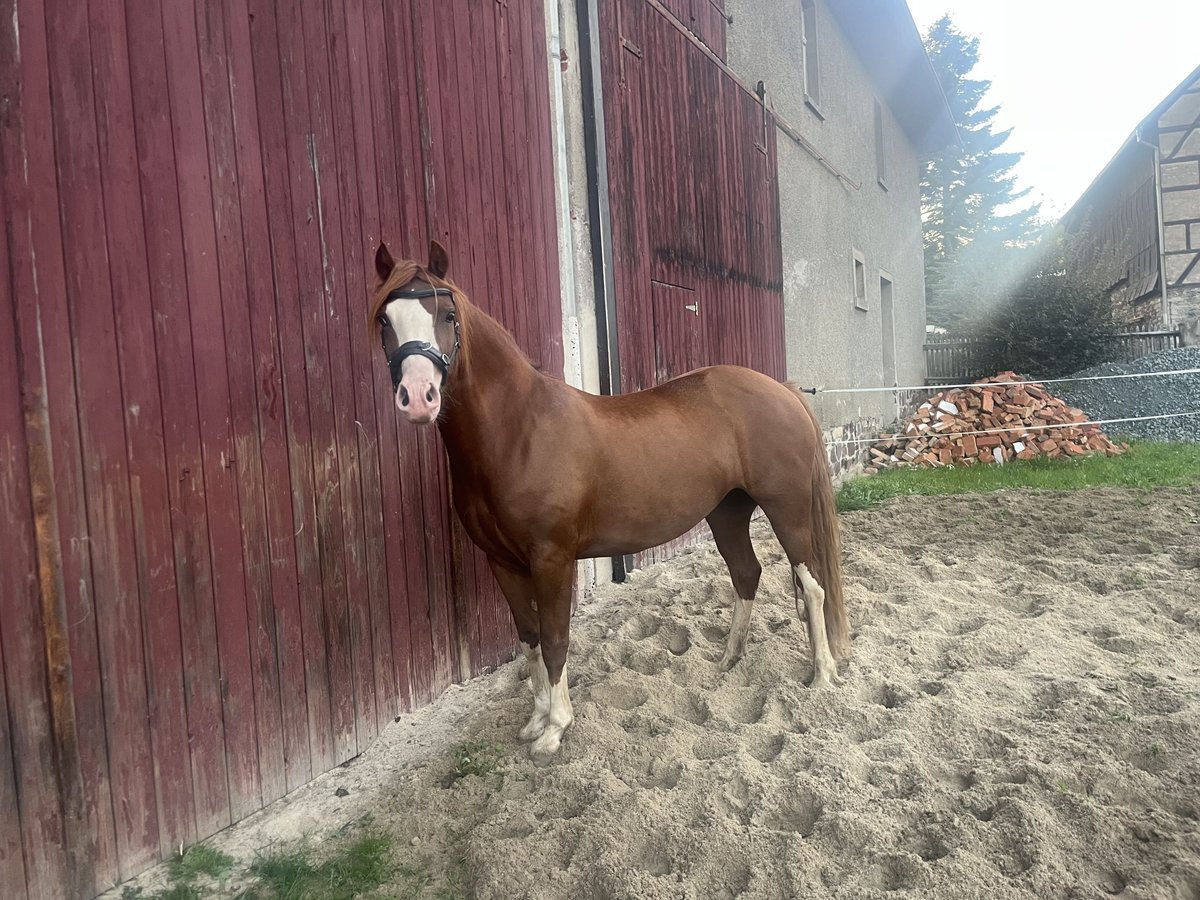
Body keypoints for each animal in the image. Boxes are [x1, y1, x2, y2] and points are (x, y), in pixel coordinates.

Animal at [370, 240, 849, 762]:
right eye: (385, 319)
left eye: (448, 314)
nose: (418, 397)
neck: (519, 433)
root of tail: (781, 388)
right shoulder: (503, 562)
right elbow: (529, 638)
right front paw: (535, 721)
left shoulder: (552, 559)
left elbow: (555, 639)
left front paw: (556, 729)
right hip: (727, 513)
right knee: (747, 575)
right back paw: (728, 660)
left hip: (786, 511)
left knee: (813, 585)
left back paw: (823, 675)